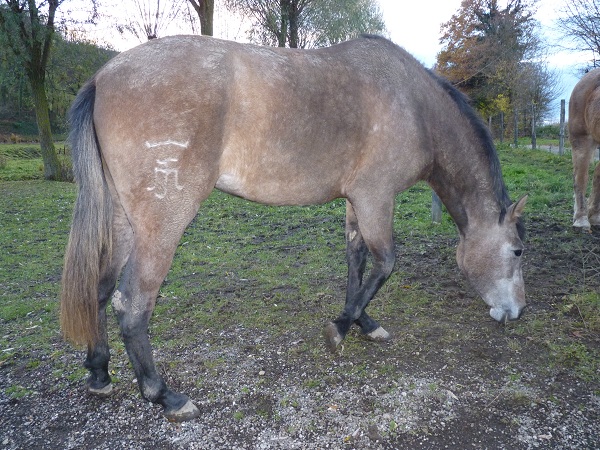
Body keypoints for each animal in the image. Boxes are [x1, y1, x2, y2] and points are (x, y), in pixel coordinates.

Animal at [61, 35, 528, 422]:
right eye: (518, 251)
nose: (517, 312)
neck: (414, 105)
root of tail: (103, 76)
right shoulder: (376, 198)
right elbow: (386, 263)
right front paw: (340, 329)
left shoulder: (356, 202)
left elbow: (358, 263)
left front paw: (363, 321)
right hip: (161, 224)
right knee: (132, 304)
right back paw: (165, 396)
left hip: (122, 220)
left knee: (100, 289)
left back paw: (99, 372)